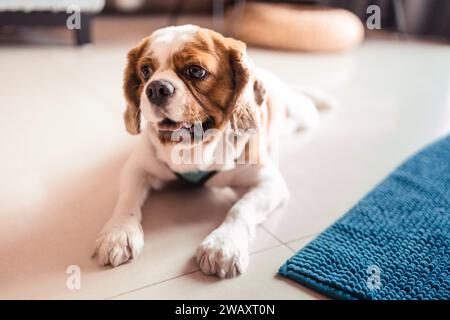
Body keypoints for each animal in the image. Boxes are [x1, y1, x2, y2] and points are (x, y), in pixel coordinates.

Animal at [93, 25, 336, 278]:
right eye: (145, 70)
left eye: (196, 71)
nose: (156, 88)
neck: (192, 147)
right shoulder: (136, 169)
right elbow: (126, 201)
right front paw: (118, 233)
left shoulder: (269, 183)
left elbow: (240, 209)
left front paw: (223, 243)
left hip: (302, 115)